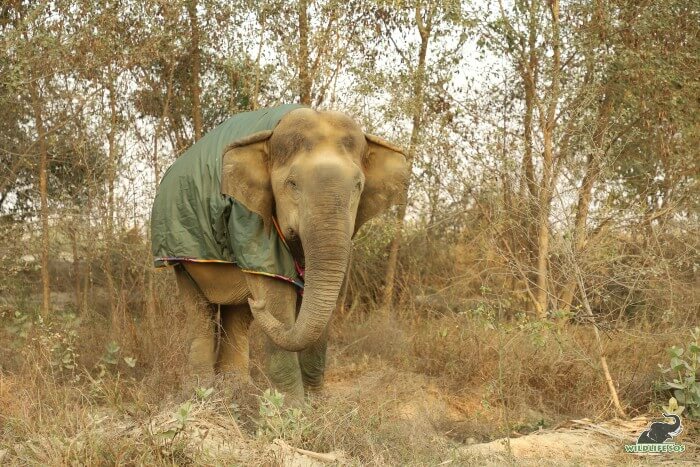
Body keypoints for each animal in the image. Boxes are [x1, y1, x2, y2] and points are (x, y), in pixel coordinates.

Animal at [150, 107, 408, 402]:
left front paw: (316, 404)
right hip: (180, 254)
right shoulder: (250, 220)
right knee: (200, 311)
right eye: (292, 184)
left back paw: (236, 389)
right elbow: (276, 299)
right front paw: (293, 408)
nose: (257, 303)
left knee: (238, 315)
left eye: (358, 186)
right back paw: (201, 394)